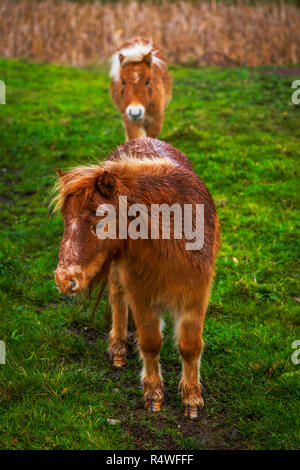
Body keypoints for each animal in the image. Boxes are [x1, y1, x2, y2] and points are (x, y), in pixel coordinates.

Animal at [52, 137, 220, 418]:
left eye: (99, 223)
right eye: (65, 220)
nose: (64, 280)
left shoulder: (196, 293)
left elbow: (190, 345)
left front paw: (192, 399)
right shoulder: (142, 293)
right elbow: (150, 342)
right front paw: (153, 395)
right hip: (118, 272)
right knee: (118, 298)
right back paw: (118, 348)